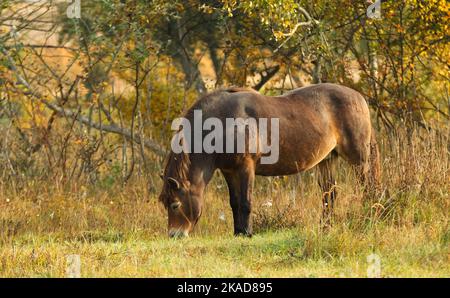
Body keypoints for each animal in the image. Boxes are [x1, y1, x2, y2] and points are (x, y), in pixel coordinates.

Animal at [158, 83, 380, 237]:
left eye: (175, 205)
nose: (175, 235)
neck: (223, 122)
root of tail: (360, 98)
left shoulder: (246, 168)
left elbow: (246, 202)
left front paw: (247, 233)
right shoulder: (229, 171)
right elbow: (234, 202)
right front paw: (238, 232)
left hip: (359, 159)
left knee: (367, 188)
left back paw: (369, 217)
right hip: (327, 160)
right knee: (329, 195)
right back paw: (325, 227)